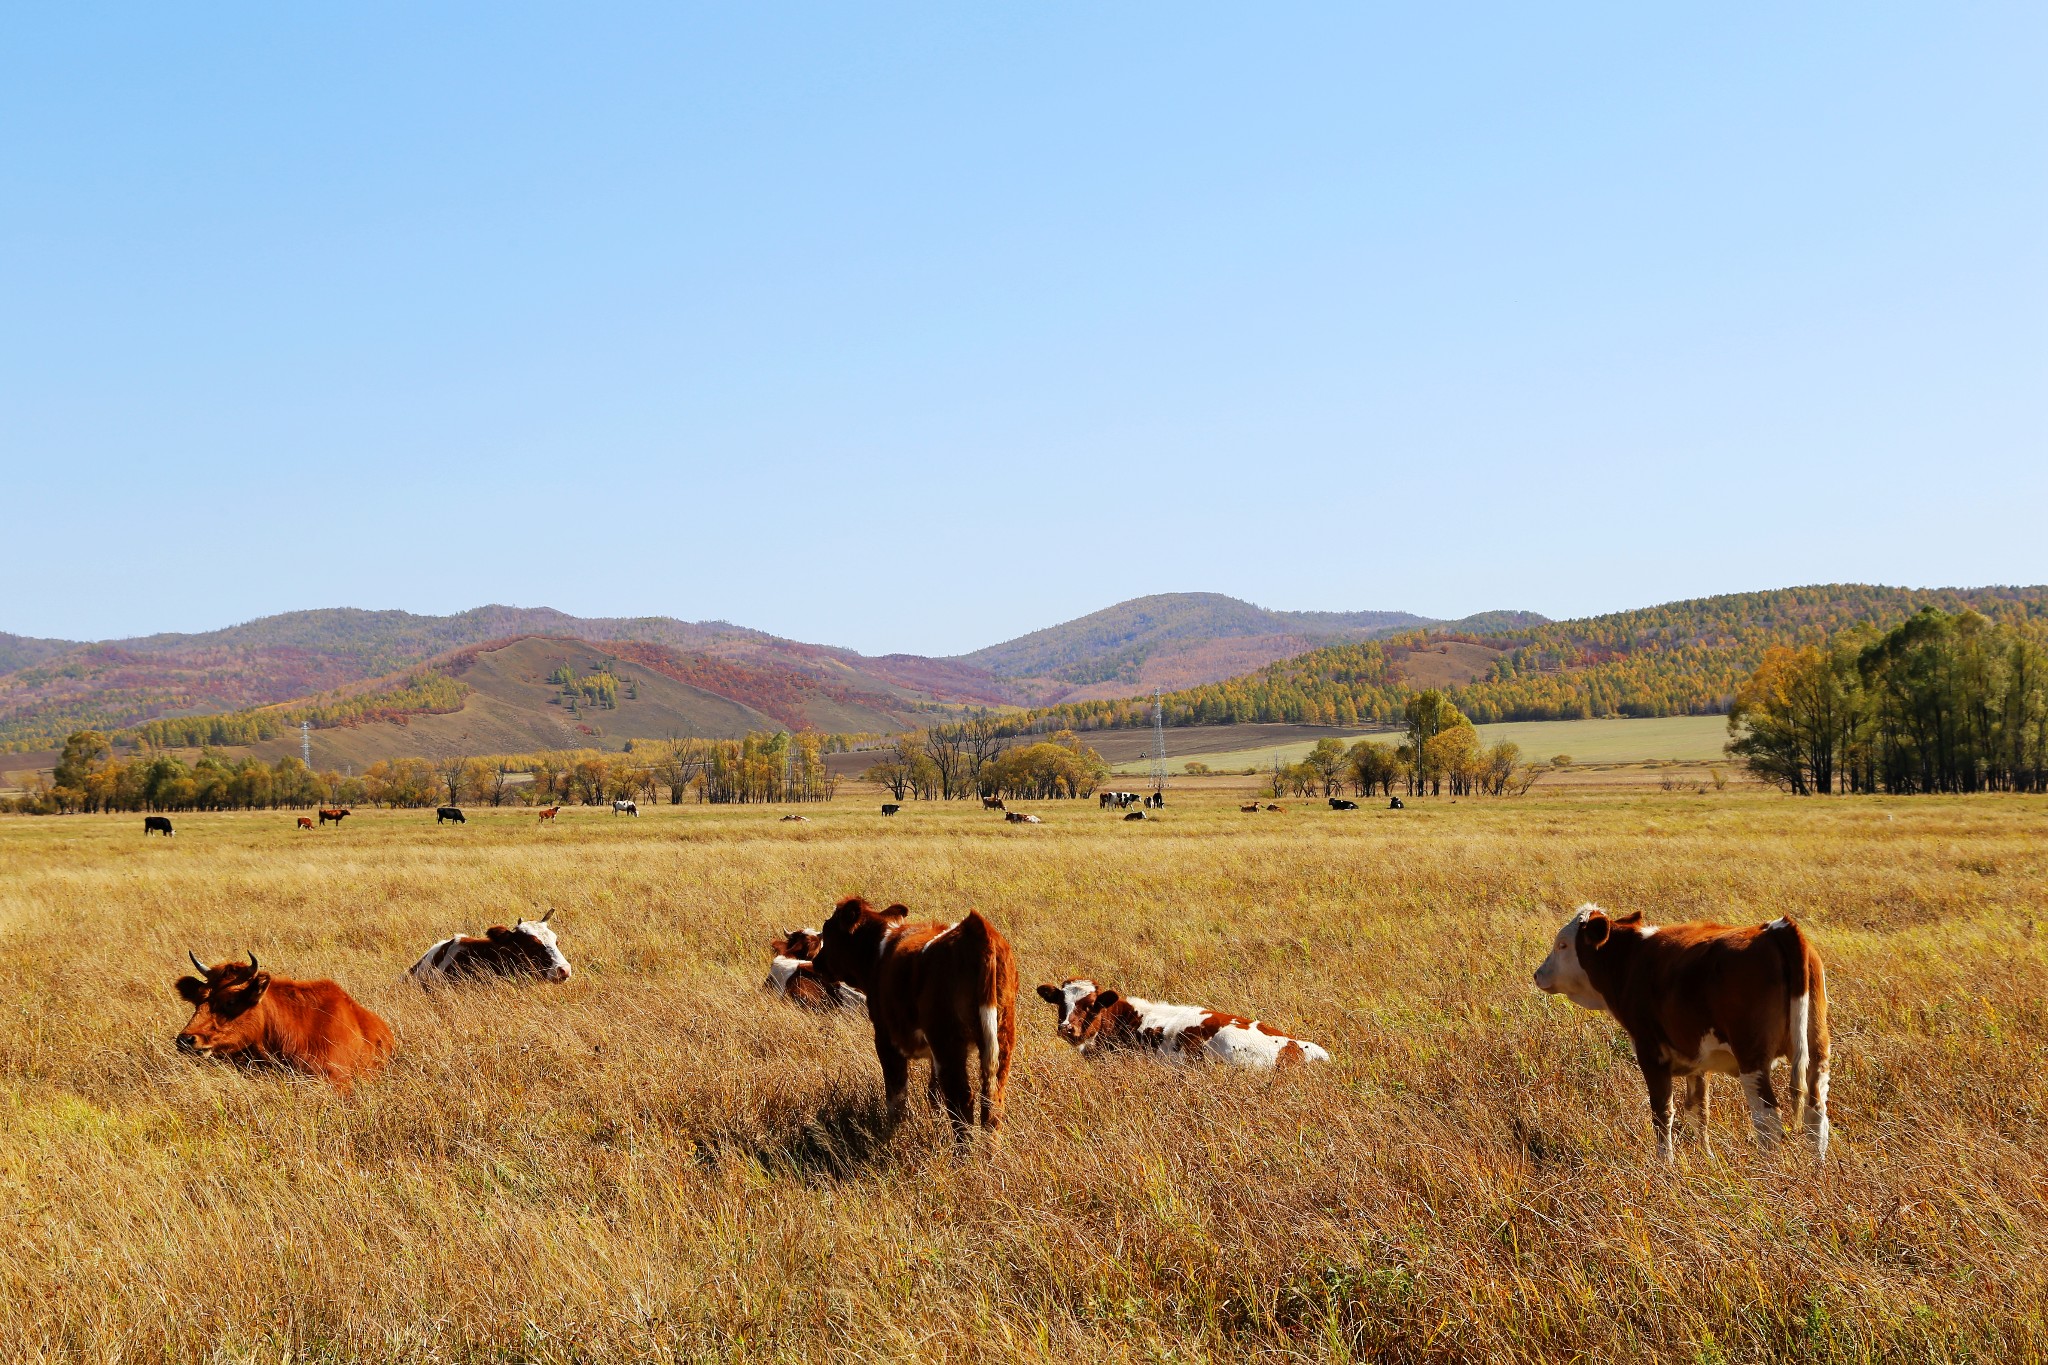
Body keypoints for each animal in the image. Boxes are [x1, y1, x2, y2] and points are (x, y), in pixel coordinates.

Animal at [806, 896, 1015, 1154]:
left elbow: (896, 1096)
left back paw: (963, 1156)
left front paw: (892, 1136)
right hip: (1002, 1036)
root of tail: (977, 928)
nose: (816, 962)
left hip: (948, 1042)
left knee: (961, 1100)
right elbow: (933, 1093)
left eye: (827, 930)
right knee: (993, 1101)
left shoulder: (885, 1039)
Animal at [1531, 908, 1835, 1162]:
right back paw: (1816, 1168)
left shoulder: (1651, 1054)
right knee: (1815, 1113)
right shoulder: (1696, 1061)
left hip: (1752, 1058)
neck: (1631, 960)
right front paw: (1708, 1159)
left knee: (1768, 1118)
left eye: (1562, 945)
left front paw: (1665, 1164)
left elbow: (1662, 1112)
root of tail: (1778, 929)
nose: (1537, 974)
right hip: (1816, 1051)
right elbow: (1698, 1112)